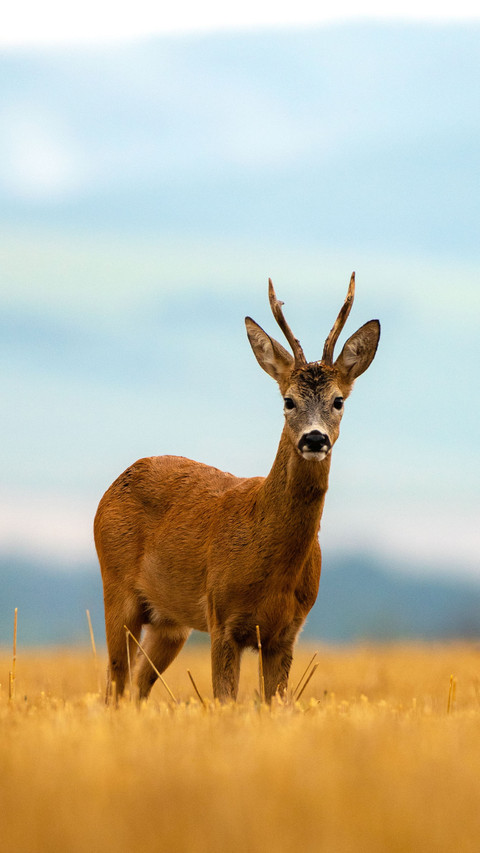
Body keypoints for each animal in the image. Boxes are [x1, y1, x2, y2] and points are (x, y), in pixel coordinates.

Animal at [94, 273, 380, 703]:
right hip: (117, 589)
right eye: (288, 401)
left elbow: (275, 703)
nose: (314, 439)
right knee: (115, 683)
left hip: (170, 621)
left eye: (338, 401)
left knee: (139, 685)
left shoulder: (286, 633)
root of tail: (115, 484)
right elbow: (223, 700)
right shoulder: (222, 618)